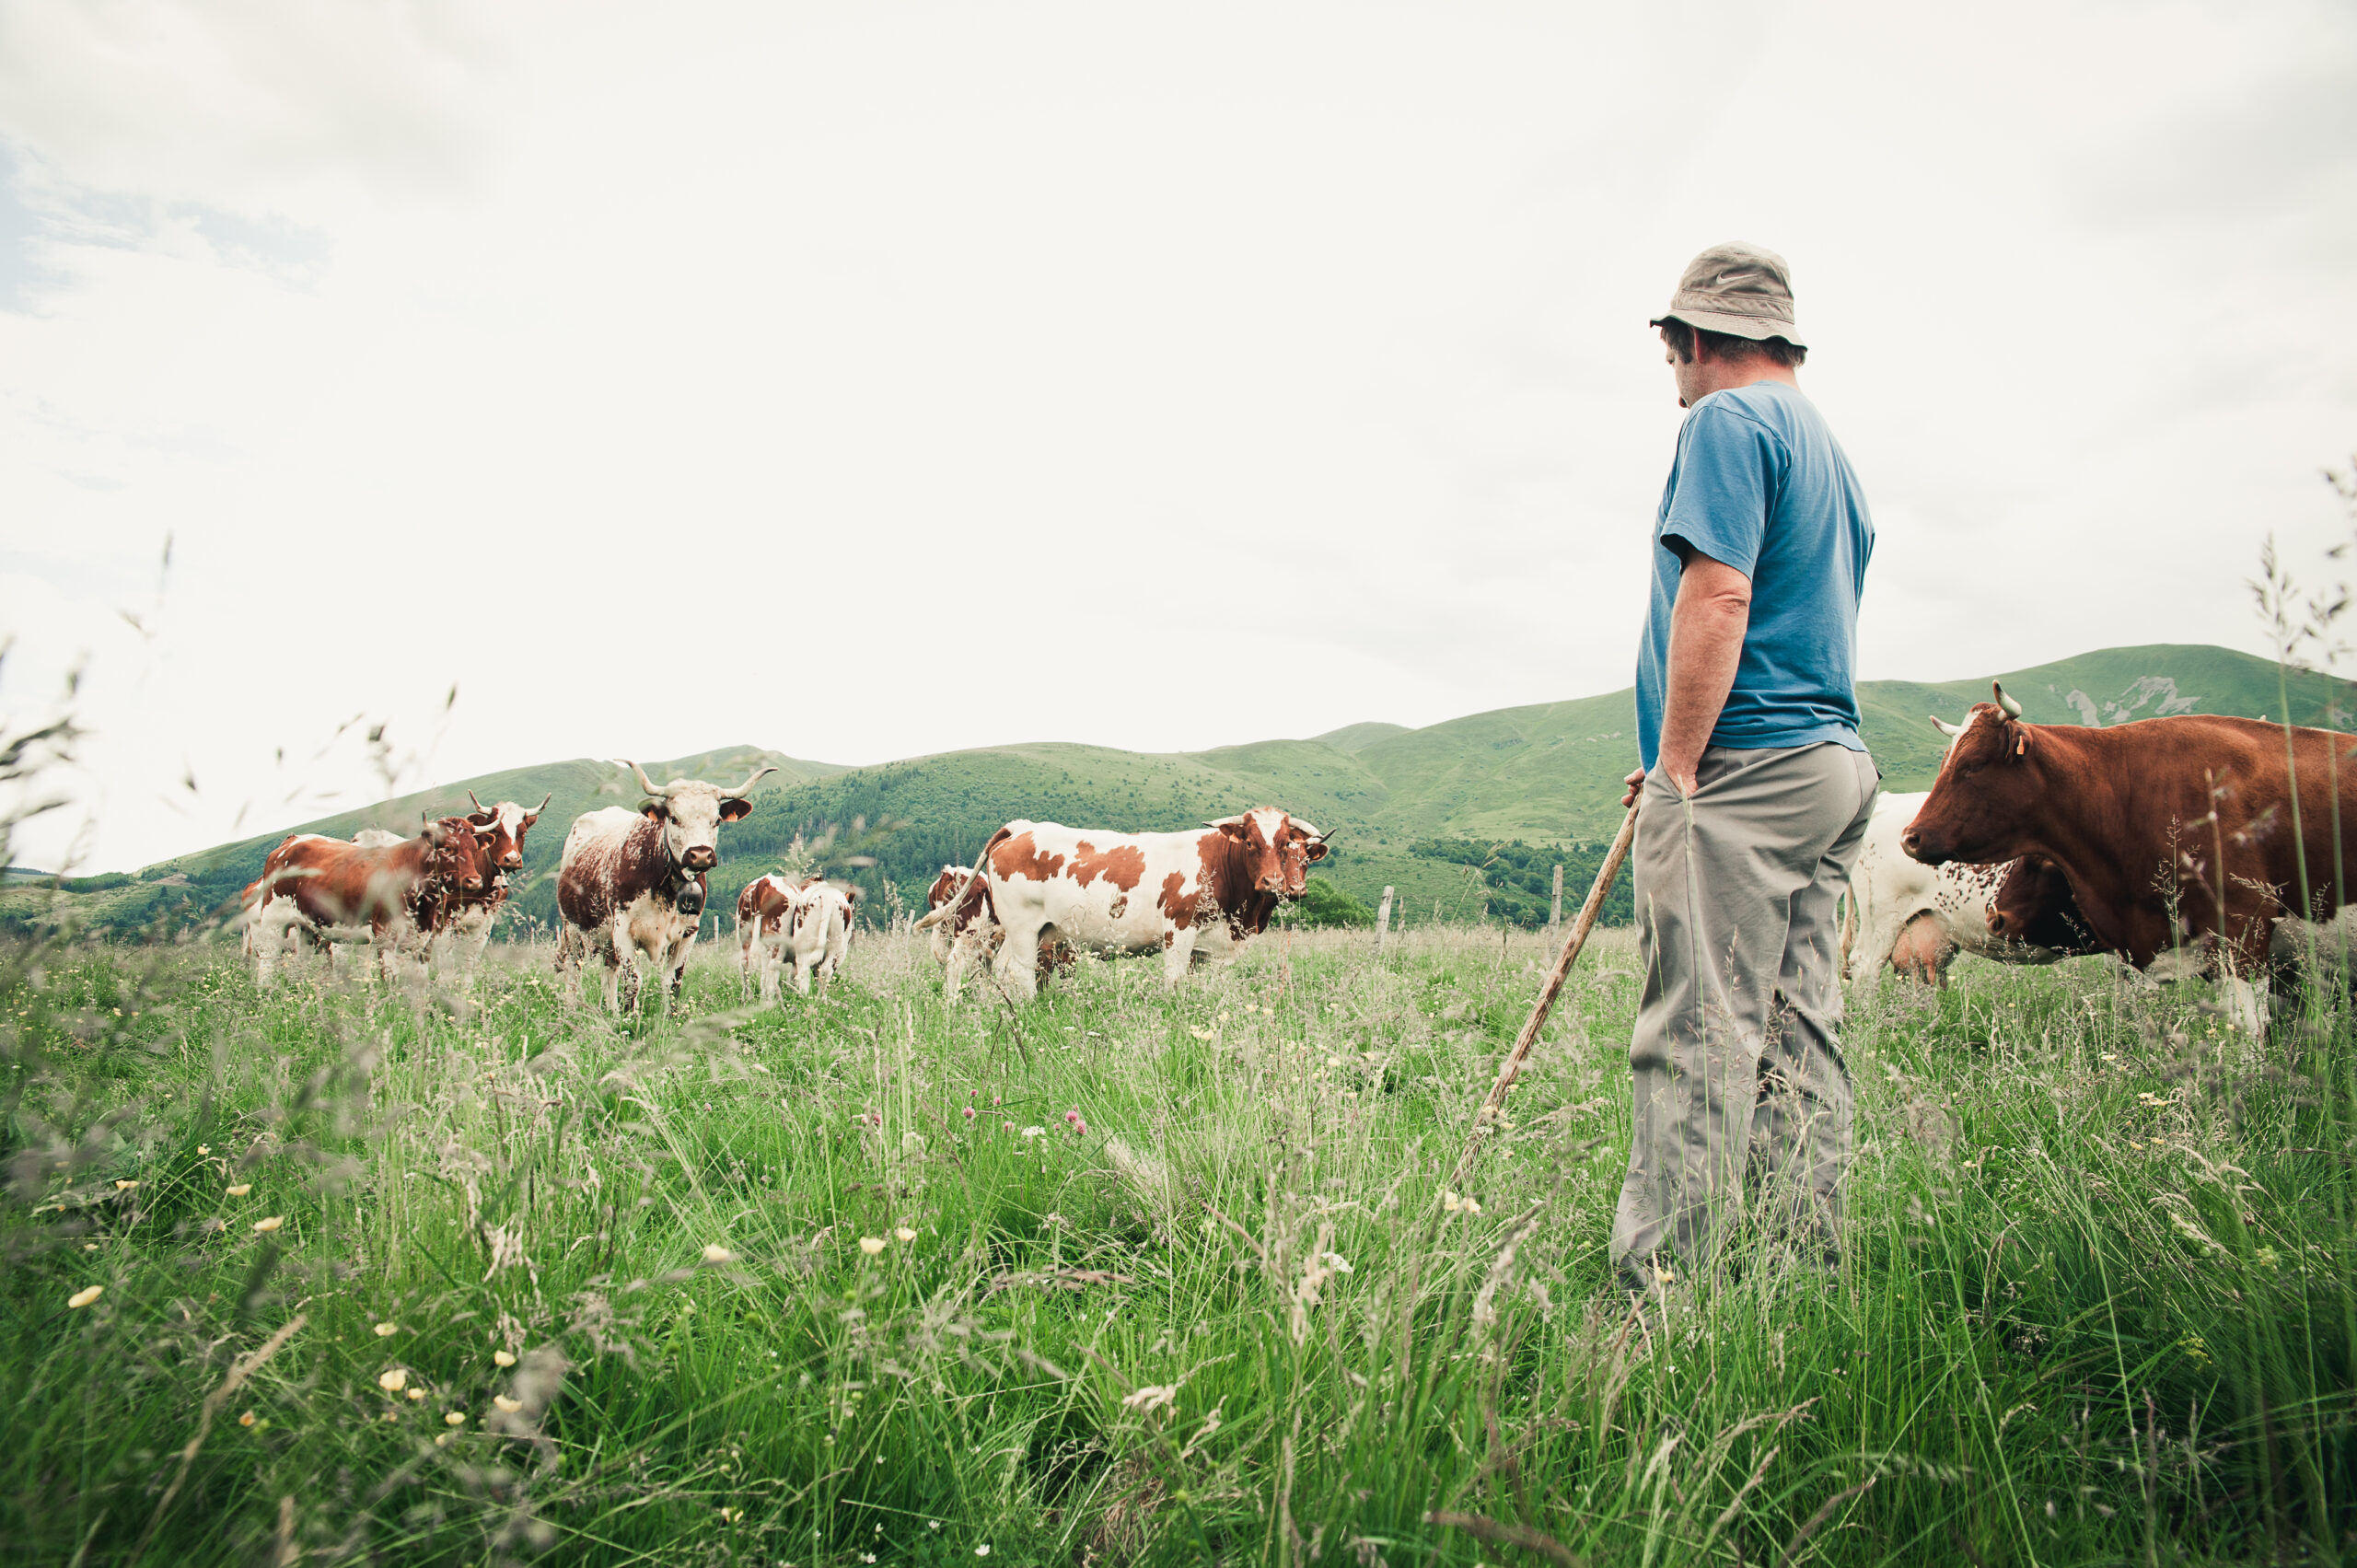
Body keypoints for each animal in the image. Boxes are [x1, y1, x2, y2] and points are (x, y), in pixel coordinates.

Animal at [246, 820, 485, 981]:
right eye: (448, 849)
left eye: (474, 849)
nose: (474, 881)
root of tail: (292, 841)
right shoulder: (384, 935)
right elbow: (391, 980)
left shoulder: (425, 939)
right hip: (272, 923)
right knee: (267, 961)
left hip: (307, 927)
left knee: (301, 961)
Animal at [552, 759, 772, 1014]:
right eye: (674, 818)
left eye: (716, 820)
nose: (700, 855)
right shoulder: (623, 930)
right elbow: (633, 981)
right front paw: (628, 1020)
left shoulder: (688, 932)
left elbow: (673, 982)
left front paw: (670, 1017)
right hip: (572, 929)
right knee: (573, 971)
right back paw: (573, 1011)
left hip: (606, 940)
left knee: (609, 972)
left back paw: (612, 1011)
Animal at [919, 810, 1329, 994]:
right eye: (1250, 842)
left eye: (1285, 844)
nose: (1274, 882)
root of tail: (1023, 827)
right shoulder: (1178, 932)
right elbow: (1174, 982)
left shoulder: (1208, 950)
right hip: (1013, 929)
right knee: (1007, 970)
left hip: (1026, 933)